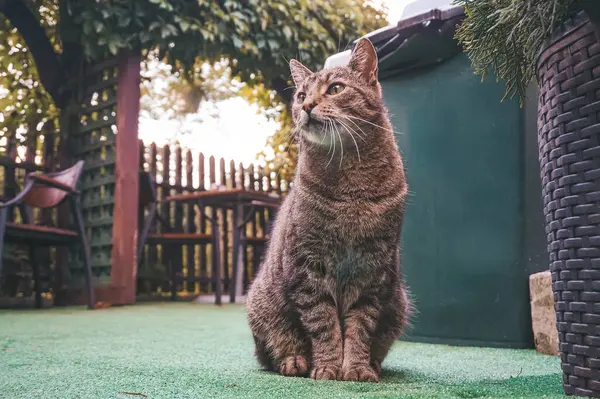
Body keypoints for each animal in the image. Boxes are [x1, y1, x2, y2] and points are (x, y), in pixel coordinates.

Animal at [245, 38, 412, 384]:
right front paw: (328, 367)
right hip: (262, 305)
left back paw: (374, 364)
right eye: (300, 95)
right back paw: (294, 360)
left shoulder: (373, 270)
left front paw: (358, 368)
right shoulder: (307, 268)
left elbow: (360, 328)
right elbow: (324, 326)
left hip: (399, 303)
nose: (307, 106)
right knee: (275, 347)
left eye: (335, 88)